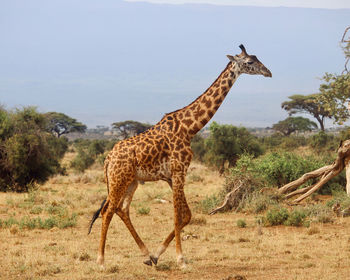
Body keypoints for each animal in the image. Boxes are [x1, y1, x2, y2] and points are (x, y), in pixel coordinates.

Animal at [88, 44, 274, 268]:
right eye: (249, 62)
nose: (268, 72)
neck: (190, 128)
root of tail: (108, 159)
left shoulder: (173, 176)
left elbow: (187, 215)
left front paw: (157, 255)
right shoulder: (178, 171)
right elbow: (178, 216)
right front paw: (181, 259)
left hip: (131, 181)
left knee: (121, 209)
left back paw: (146, 254)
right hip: (119, 179)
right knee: (108, 211)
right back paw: (101, 261)